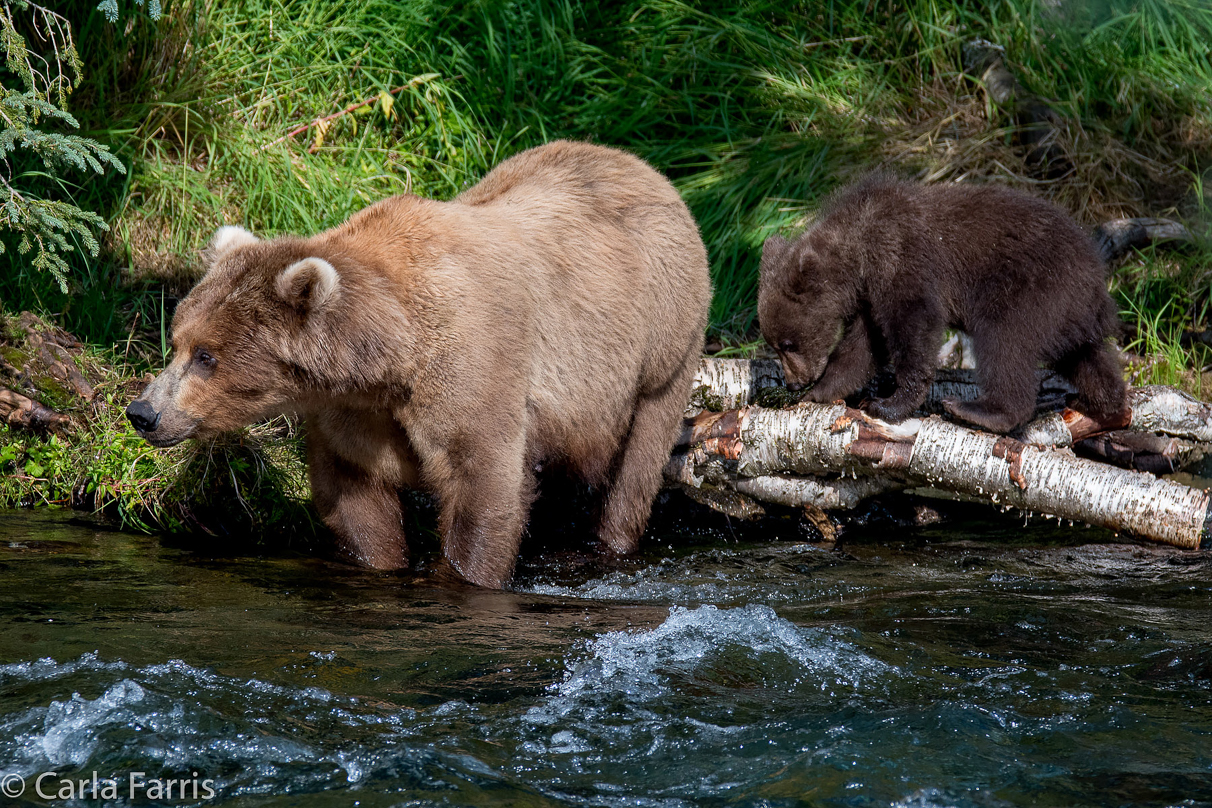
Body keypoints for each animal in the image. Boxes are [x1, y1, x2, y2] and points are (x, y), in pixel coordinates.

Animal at [125, 142, 707, 588]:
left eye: (206, 356)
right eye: (176, 342)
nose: (142, 412)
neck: (389, 357)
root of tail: (643, 167)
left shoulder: (470, 364)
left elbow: (482, 480)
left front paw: (464, 577)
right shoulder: (356, 411)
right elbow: (355, 495)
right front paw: (382, 560)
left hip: (662, 340)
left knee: (638, 459)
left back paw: (607, 543)